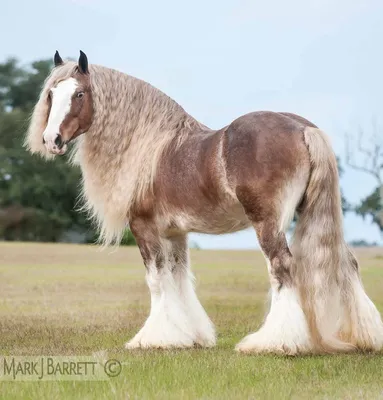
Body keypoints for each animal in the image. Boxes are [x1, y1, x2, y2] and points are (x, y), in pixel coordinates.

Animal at [24, 50, 383, 354]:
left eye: (79, 94)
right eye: (52, 94)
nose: (52, 140)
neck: (151, 146)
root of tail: (302, 128)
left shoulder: (144, 228)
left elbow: (156, 280)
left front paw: (153, 338)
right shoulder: (175, 234)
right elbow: (179, 279)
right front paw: (190, 335)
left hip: (268, 222)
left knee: (282, 267)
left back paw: (274, 342)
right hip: (314, 213)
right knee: (347, 263)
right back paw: (365, 337)